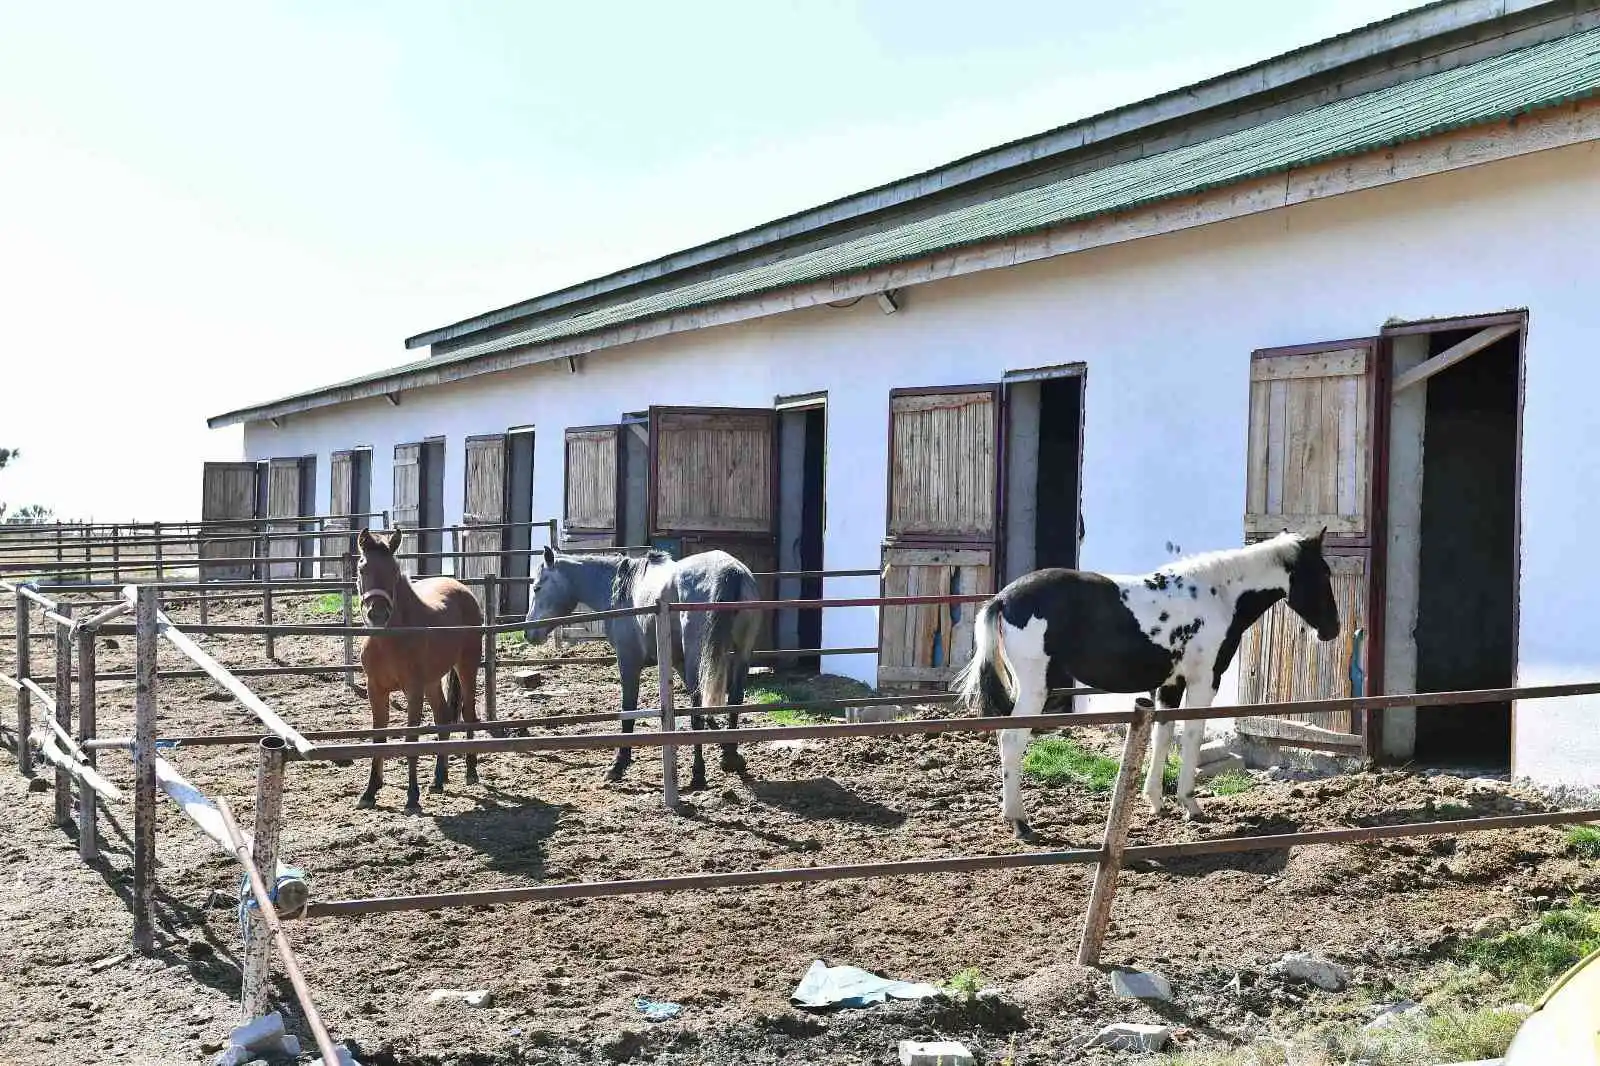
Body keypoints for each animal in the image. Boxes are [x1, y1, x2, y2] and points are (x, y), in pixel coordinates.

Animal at [360, 528, 483, 809]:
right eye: (362, 567)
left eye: (394, 569)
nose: (378, 614)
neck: (389, 640)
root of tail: (462, 589)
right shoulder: (376, 689)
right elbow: (378, 738)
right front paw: (369, 792)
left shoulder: (413, 690)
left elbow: (411, 739)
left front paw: (412, 797)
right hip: (432, 681)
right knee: (443, 717)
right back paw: (438, 779)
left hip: (467, 666)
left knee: (468, 712)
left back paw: (471, 771)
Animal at [515, 547, 758, 787]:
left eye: (537, 587)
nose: (529, 633)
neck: (622, 590)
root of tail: (729, 570)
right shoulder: (678, 663)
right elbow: (709, 711)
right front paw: (726, 749)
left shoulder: (628, 662)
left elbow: (628, 710)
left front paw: (619, 765)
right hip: (739, 656)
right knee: (734, 700)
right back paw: (730, 757)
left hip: (697, 658)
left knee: (696, 709)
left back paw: (698, 774)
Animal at [953, 528, 1344, 832]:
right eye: (1321, 573)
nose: (1332, 629)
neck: (1219, 595)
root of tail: (1003, 599)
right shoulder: (1203, 682)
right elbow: (1192, 736)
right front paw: (1190, 805)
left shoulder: (1169, 685)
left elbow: (1162, 735)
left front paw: (1155, 801)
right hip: (1035, 688)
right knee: (1012, 739)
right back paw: (1019, 821)